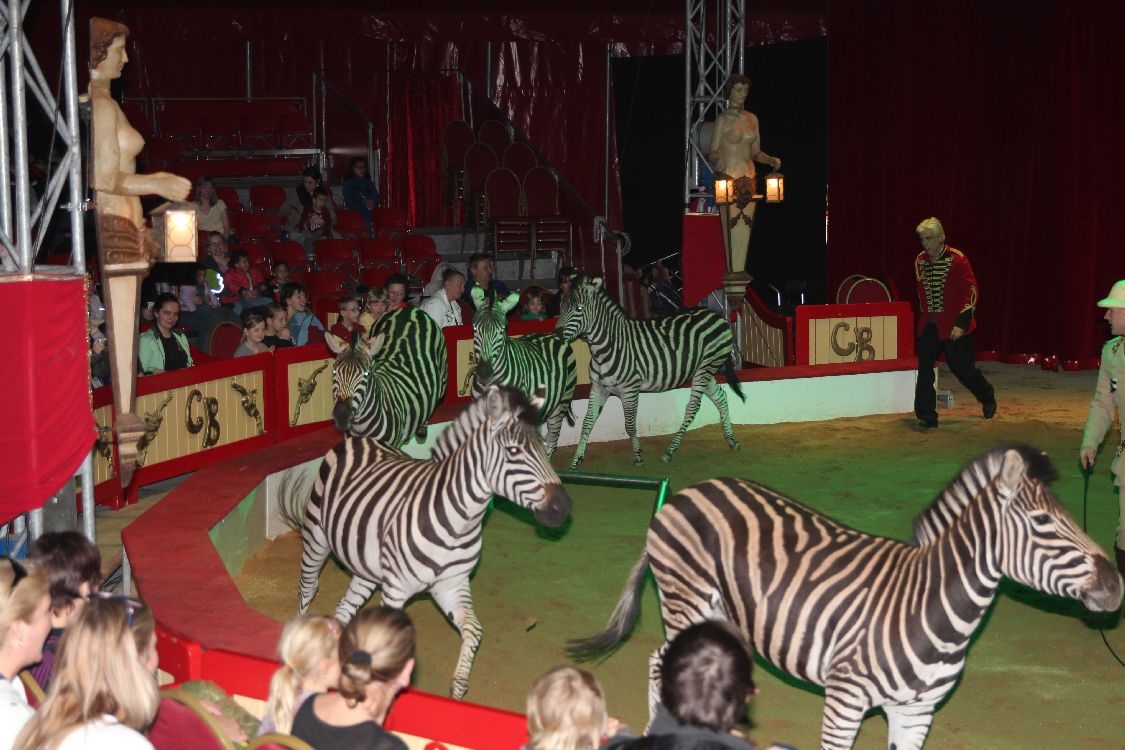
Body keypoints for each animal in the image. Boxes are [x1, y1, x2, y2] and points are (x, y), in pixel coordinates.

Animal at [297, 386, 571, 706]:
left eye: (542, 447)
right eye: (513, 452)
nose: (564, 507)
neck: (459, 523)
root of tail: (357, 438)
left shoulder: (451, 584)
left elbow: (474, 631)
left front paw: (458, 690)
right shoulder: (396, 589)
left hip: (367, 566)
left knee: (344, 608)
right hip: (316, 537)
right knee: (308, 589)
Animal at [326, 305, 447, 445]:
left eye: (366, 374)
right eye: (334, 372)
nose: (342, 417)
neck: (360, 427)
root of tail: (410, 309)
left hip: (442, 383)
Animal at [468, 287, 576, 458]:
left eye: (502, 330)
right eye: (474, 329)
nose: (484, 373)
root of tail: (556, 335)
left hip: (561, 403)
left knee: (552, 440)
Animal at [555, 273, 747, 465]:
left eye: (579, 308)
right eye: (561, 307)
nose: (556, 334)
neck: (606, 349)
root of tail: (716, 314)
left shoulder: (630, 390)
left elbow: (630, 425)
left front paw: (638, 456)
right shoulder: (598, 388)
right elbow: (587, 423)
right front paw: (576, 460)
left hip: (707, 367)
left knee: (692, 407)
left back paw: (670, 451)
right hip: (703, 370)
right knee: (720, 397)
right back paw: (731, 441)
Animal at [571, 445, 1125, 750]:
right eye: (1043, 522)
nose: (1116, 584)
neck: (934, 611)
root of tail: (689, 490)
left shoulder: (916, 713)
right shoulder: (846, 698)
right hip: (683, 599)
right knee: (658, 661)